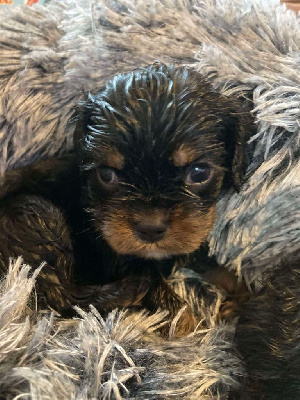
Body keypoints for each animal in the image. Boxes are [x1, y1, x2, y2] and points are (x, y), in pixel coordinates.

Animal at [0, 63, 252, 334]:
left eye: (199, 172)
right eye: (107, 175)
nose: (150, 228)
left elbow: (210, 262)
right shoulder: (117, 251)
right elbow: (161, 292)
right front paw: (189, 325)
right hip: (33, 216)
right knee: (60, 296)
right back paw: (128, 290)